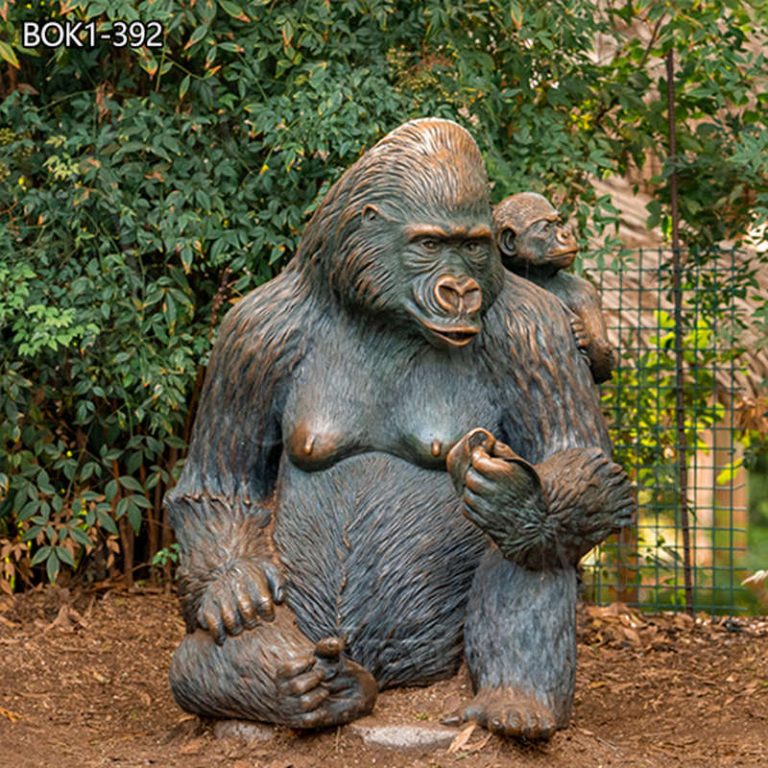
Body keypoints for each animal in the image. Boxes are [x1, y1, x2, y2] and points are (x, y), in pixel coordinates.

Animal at [496, 192, 616, 384]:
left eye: (559, 223)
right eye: (546, 228)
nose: (566, 234)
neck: (539, 276)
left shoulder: (586, 293)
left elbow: (602, 371)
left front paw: (585, 337)